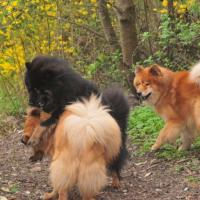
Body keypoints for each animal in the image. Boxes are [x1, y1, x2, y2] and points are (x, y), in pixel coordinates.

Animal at [24, 55, 130, 184]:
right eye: (30, 88)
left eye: (38, 89)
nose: (30, 102)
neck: (61, 89)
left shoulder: (59, 112)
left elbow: (43, 124)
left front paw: (34, 138)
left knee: (115, 163)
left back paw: (116, 181)